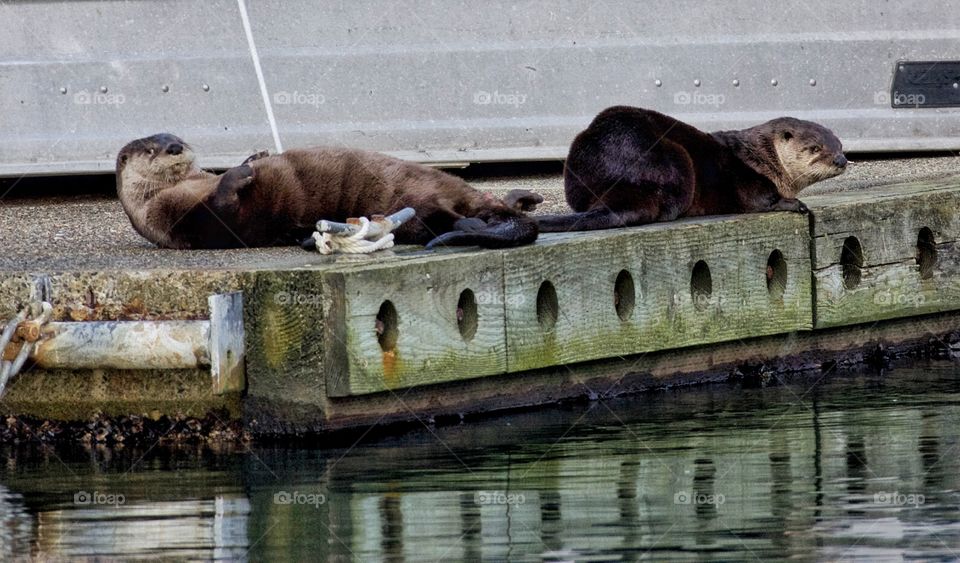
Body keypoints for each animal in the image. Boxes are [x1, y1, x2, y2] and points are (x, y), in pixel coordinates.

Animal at [115, 134, 542, 250]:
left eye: (176, 136)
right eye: (151, 149)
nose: (175, 147)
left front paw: (256, 155)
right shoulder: (189, 223)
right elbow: (224, 204)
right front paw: (241, 171)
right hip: (420, 207)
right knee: (443, 218)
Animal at [536, 106, 847, 231]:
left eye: (840, 145)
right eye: (815, 148)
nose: (841, 160)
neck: (760, 157)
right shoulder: (747, 176)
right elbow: (758, 199)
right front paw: (794, 203)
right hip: (674, 159)